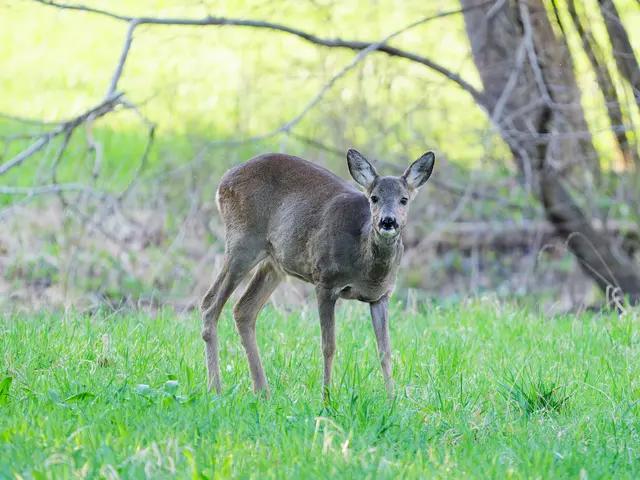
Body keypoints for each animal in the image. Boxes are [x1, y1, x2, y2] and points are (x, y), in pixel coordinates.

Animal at [200, 148, 435, 400]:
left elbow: (385, 350)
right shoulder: (325, 281)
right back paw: (215, 389)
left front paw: (392, 400)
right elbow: (328, 346)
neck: (366, 267)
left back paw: (263, 393)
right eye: (374, 198)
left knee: (243, 310)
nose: (388, 221)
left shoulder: (382, 296)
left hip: (274, 262)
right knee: (210, 304)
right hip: (243, 243)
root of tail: (223, 181)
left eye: (404, 199)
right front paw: (326, 398)